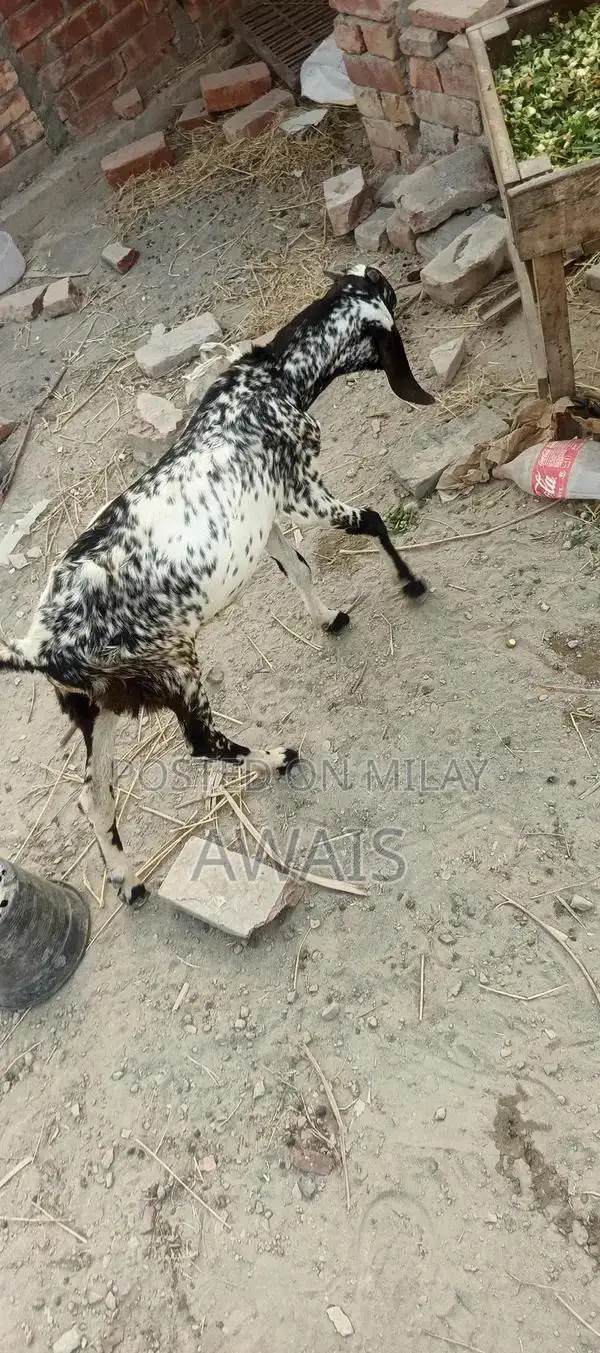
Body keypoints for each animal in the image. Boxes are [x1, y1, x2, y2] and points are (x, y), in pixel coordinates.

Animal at [0, 264, 434, 908]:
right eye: (383, 295)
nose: (397, 277)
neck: (273, 376)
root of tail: (39, 647)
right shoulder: (301, 490)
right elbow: (372, 520)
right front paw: (411, 582)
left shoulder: (267, 516)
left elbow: (297, 567)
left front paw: (328, 618)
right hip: (173, 668)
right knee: (202, 742)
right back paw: (277, 756)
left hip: (100, 705)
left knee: (93, 793)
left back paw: (127, 880)